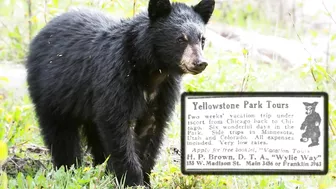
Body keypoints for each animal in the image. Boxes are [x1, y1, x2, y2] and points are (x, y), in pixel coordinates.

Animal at [26, 0, 215, 187]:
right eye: (181, 39)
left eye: (202, 39)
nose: (200, 63)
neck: (152, 70)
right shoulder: (117, 76)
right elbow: (116, 124)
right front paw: (132, 180)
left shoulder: (165, 90)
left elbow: (151, 128)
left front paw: (145, 179)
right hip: (52, 91)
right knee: (60, 132)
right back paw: (69, 167)